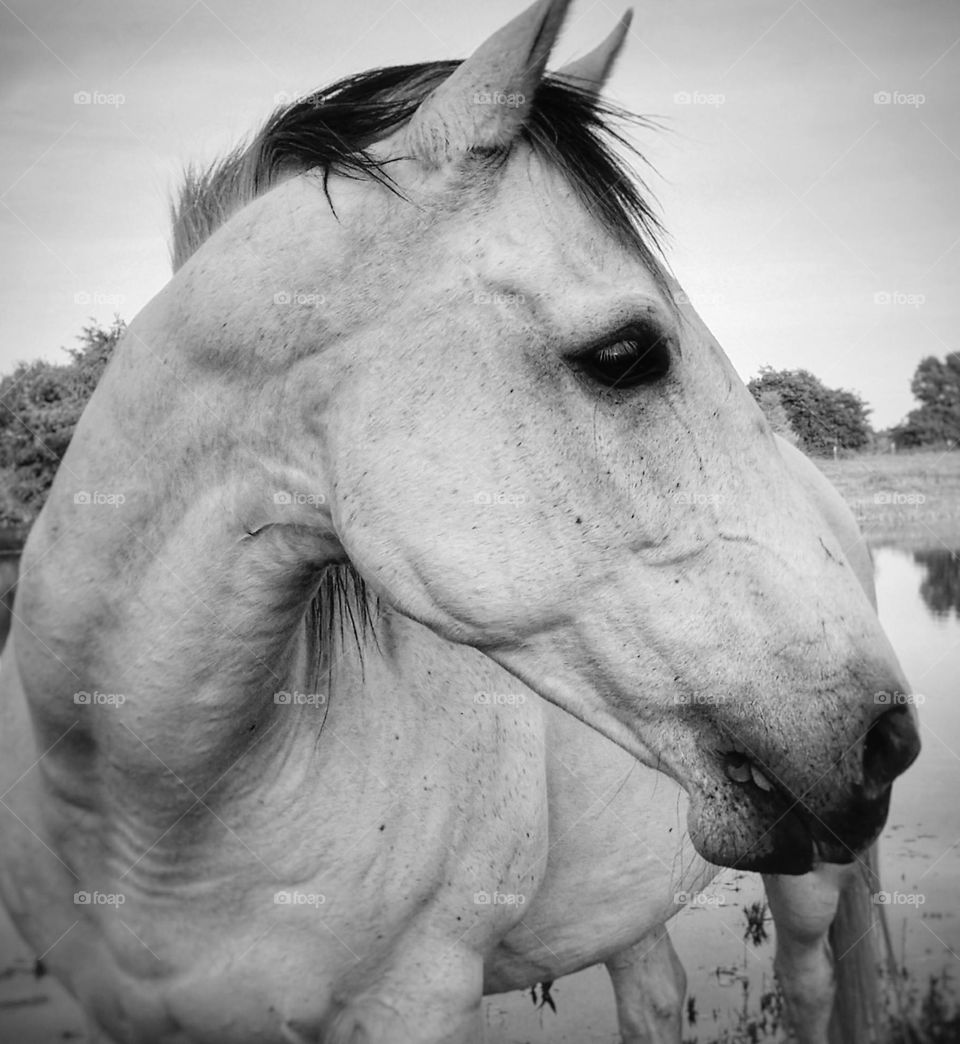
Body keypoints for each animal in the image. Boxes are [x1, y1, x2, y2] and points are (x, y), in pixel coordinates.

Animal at [0, 2, 918, 1044]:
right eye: (625, 354)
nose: (890, 737)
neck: (150, 813)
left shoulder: (417, 999)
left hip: (812, 886)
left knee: (809, 983)